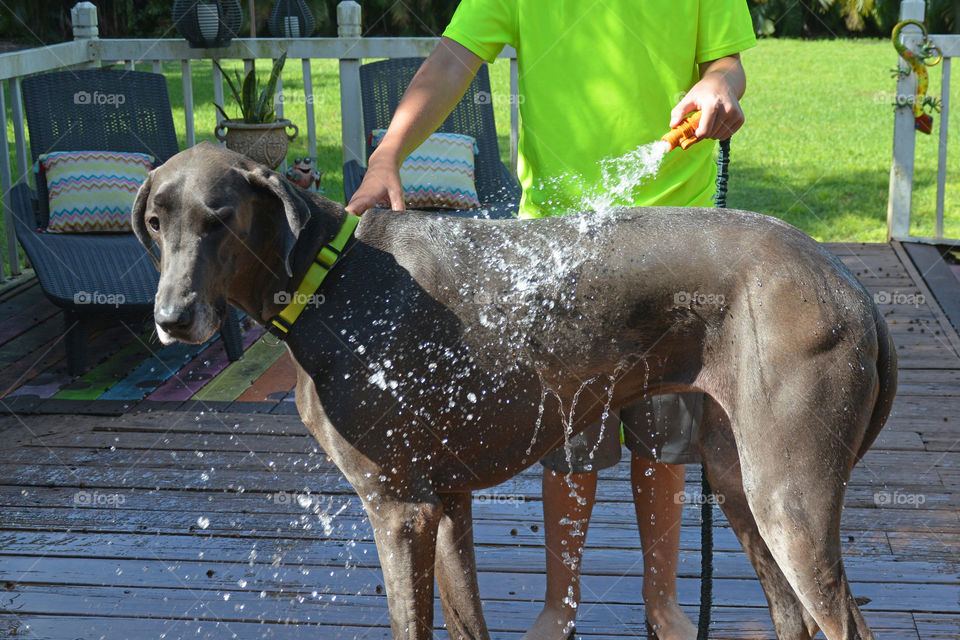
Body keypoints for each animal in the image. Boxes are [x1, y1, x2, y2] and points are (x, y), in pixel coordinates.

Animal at [135, 142, 900, 636]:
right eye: (155, 221)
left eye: (219, 218)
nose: (171, 319)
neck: (327, 274)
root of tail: (851, 285)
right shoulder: (444, 504)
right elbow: (466, 619)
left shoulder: (399, 510)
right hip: (736, 479)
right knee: (791, 616)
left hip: (787, 499)